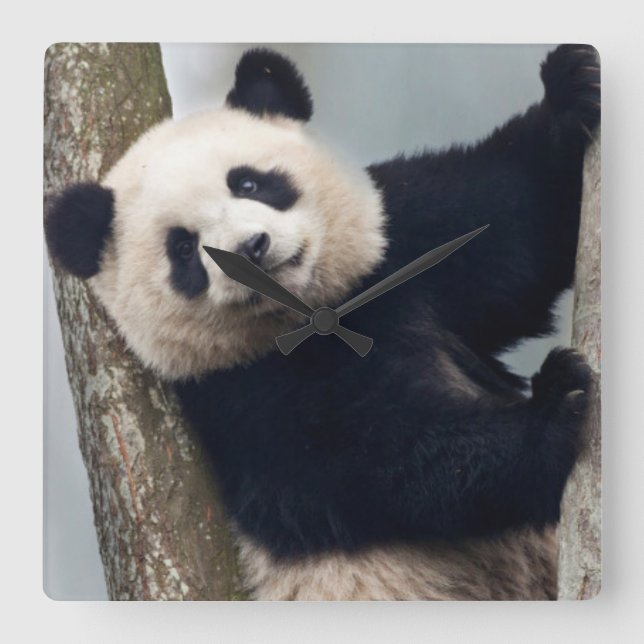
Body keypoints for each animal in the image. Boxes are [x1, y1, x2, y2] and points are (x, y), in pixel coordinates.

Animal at [46, 45, 600, 600]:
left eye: (249, 183)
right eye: (183, 248)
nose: (253, 249)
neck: (316, 316)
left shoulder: (404, 246)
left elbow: (516, 223)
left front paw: (574, 87)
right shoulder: (244, 398)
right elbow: (391, 463)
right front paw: (555, 409)